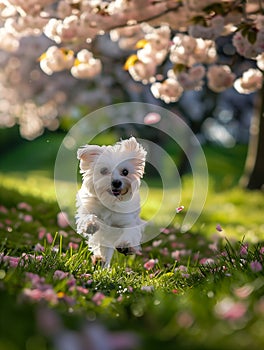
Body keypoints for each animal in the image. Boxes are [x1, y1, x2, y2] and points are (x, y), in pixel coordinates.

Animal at [75, 135, 147, 266]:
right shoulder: (88, 208)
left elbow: (130, 230)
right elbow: (88, 217)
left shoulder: (128, 220)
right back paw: (99, 260)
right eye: (103, 171)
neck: (110, 201)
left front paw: (126, 245)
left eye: (125, 172)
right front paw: (91, 224)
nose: (116, 182)